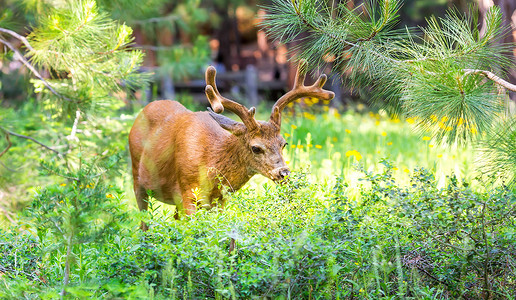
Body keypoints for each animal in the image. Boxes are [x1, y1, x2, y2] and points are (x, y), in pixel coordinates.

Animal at [129, 59, 334, 227]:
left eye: (284, 143)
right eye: (255, 148)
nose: (283, 173)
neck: (210, 159)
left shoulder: (220, 200)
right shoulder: (187, 192)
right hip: (138, 179)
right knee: (143, 222)